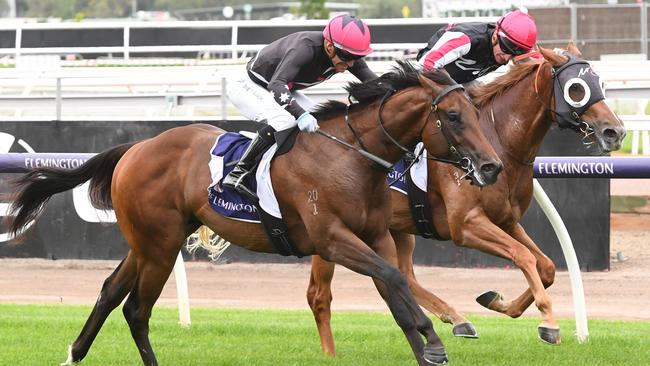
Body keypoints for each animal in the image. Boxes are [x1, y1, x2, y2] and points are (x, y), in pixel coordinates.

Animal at [6, 63, 502, 366]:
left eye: (477, 110)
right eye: (453, 116)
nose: (492, 166)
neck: (350, 157)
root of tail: (137, 147)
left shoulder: (375, 236)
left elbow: (395, 292)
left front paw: (427, 345)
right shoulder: (332, 239)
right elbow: (397, 280)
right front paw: (434, 340)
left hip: (150, 242)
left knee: (110, 293)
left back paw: (75, 352)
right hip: (160, 246)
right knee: (136, 309)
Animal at [306, 43, 624, 354]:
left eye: (600, 83)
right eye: (576, 88)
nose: (615, 131)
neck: (499, 142)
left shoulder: (506, 221)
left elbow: (544, 265)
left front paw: (499, 302)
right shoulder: (466, 224)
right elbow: (523, 256)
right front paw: (549, 323)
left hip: (395, 228)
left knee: (403, 274)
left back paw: (458, 319)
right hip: (332, 232)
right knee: (319, 295)